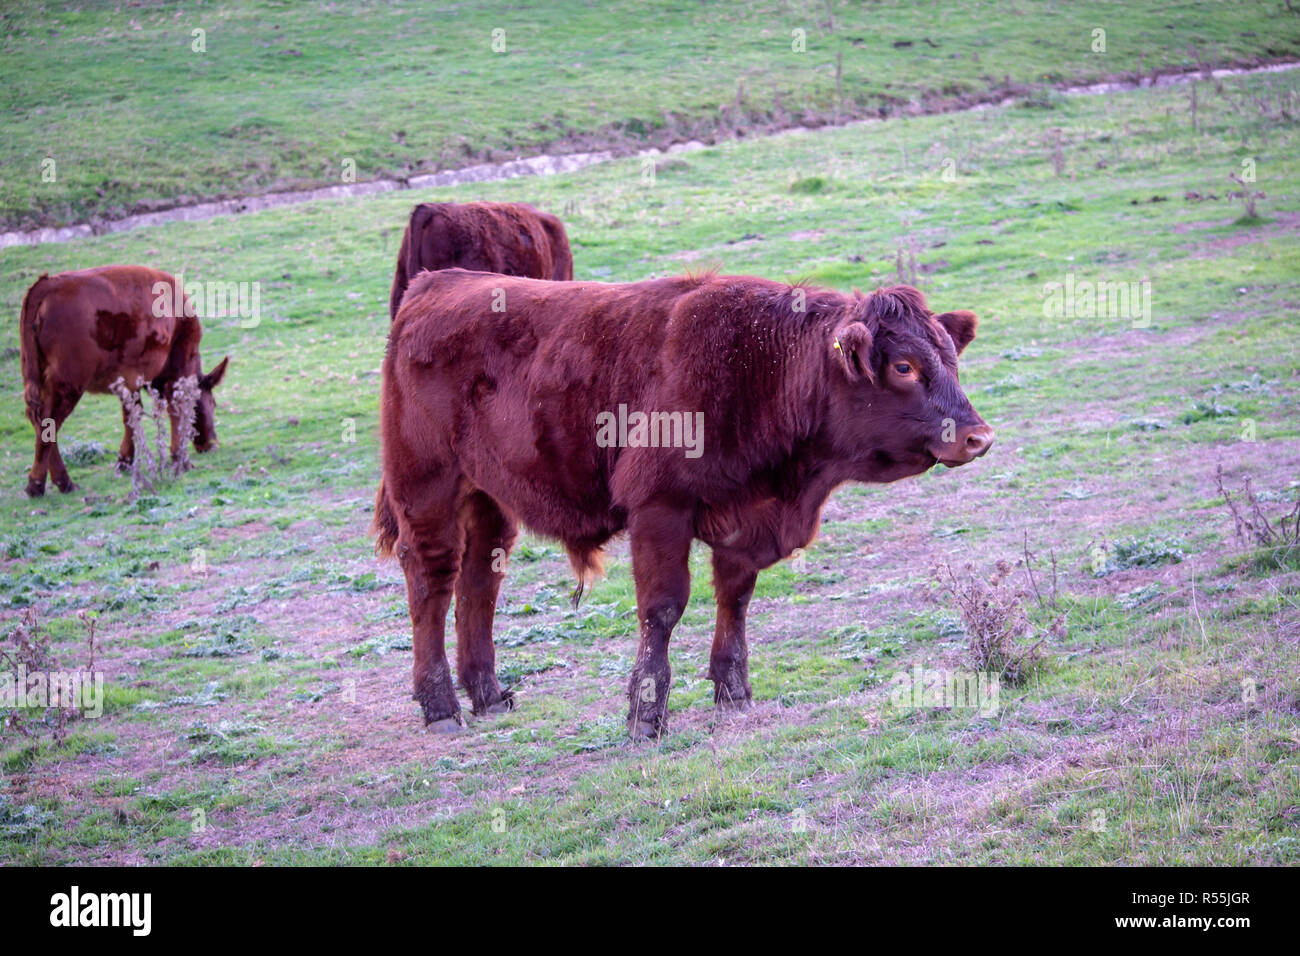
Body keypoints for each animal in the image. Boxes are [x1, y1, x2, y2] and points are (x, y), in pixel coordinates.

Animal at [21, 265, 230, 496]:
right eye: (213, 403)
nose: (212, 443)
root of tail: (46, 284)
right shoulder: (178, 364)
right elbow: (176, 410)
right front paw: (181, 461)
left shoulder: (129, 380)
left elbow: (132, 415)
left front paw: (125, 461)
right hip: (67, 384)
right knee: (49, 423)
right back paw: (48, 483)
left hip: (42, 381)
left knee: (39, 421)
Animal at [377, 269, 993, 738]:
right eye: (904, 366)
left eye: (951, 360)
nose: (977, 436)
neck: (762, 367)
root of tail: (437, 282)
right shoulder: (659, 512)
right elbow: (663, 608)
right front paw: (646, 714)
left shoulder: (747, 521)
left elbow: (735, 600)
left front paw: (734, 691)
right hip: (427, 487)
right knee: (432, 579)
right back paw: (441, 708)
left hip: (489, 499)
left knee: (479, 580)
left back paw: (487, 694)